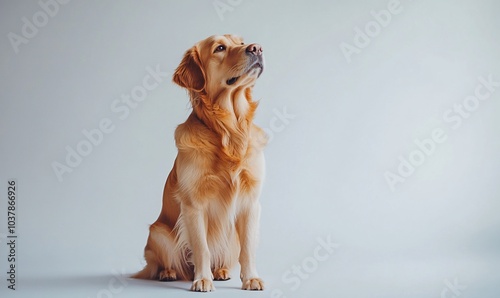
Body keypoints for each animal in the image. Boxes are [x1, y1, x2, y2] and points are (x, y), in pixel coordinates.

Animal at [133, 34, 266, 292]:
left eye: (241, 41)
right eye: (220, 48)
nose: (256, 48)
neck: (228, 131)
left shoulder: (251, 202)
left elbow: (248, 249)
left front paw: (251, 278)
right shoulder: (193, 205)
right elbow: (202, 248)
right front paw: (202, 279)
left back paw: (221, 271)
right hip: (158, 232)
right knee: (167, 262)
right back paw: (169, 273)